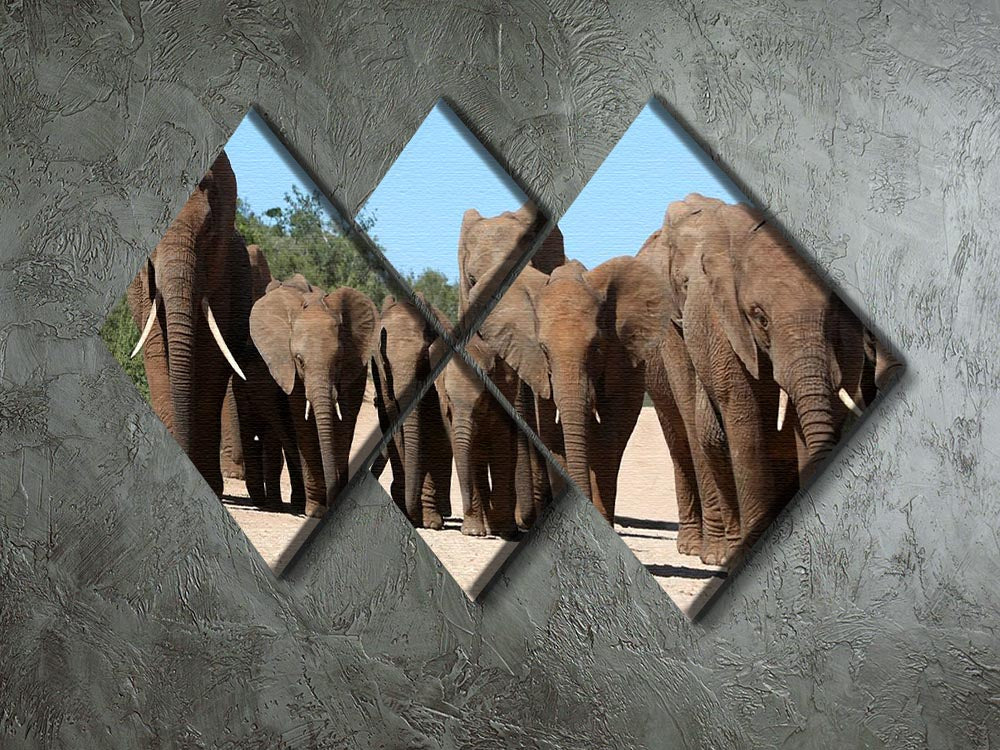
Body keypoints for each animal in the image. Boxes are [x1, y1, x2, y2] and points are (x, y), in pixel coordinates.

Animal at [250, 274, 378, 517]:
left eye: (338, 360)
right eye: (299, 360)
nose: (331, 498)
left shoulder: (353, 364)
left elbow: (343, 425)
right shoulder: (290, 369)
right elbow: (304, 426)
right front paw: (315, 510)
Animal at [439, 333, 522, 539]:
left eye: (480, 401)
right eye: (449, 398)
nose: (465, 509)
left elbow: (501, 447)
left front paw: (504, 531)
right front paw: (473, 532)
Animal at [678, 198, 867, 556]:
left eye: (832, 311)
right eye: (759, 317)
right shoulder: (726, 328)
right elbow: (745, 424)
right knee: (714, 440)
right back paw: (726, 553)